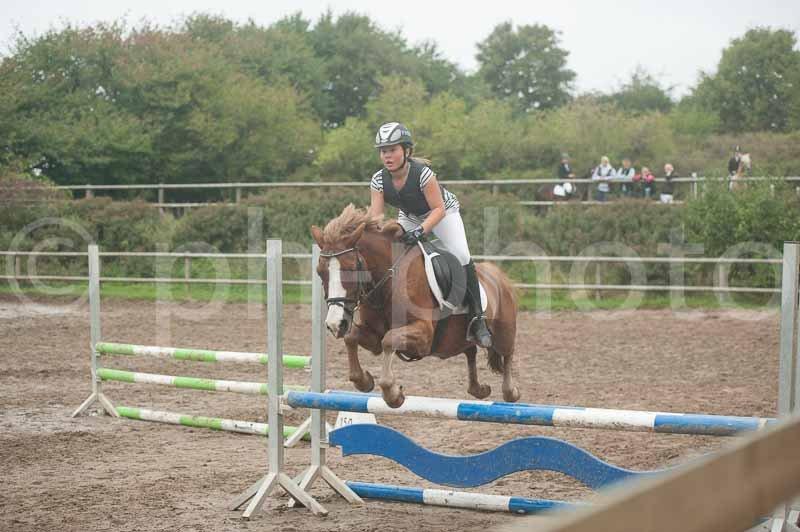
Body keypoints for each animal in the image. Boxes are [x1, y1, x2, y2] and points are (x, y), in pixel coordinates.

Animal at [311, 204, 520, 408]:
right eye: (320, 272)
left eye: (351, 269)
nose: (335, 324)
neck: (388, 282)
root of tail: (499, 275)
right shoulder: (373, 335)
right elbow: (352, 337)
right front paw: (364, 381)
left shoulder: (424, 335)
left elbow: (389, 340)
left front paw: (392, 394)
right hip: (460, 339)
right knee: (471, 351)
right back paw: (479, 389)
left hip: (504, 331)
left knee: (507, 354)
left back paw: (511, 391)